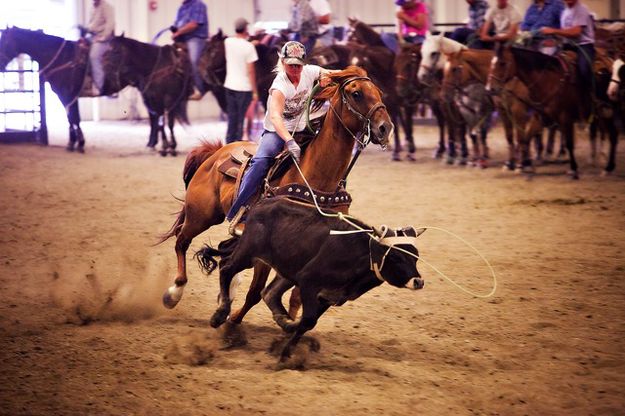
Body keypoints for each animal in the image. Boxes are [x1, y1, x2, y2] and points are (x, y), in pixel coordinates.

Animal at [156, 68, 390, 326]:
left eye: (379, 92)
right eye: (356, 93)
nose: (385, 128)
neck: (317, 178)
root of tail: (216, 152)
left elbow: (296, 295)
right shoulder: (266, 250)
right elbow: (256, 291)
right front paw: (232, 319)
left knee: (222, 252)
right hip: (201, 215)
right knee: (181, 241)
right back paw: (174, 293)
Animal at [490, 45, 616, 177]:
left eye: (502, 63)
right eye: (492, 63)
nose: (491, 88)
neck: (550, 81)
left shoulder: (564, 117)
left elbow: (569, 143)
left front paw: (573, 169)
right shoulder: (539, 117)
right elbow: (525, 138)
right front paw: (525, 165)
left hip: (607, 112)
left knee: (610, 135)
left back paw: (604, 165)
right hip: (602, 115)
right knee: (609, 134)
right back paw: (604, 165)